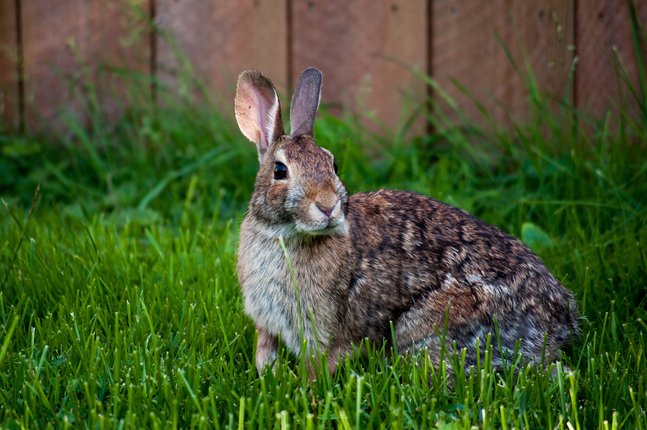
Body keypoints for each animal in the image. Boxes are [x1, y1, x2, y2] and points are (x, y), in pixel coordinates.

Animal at [235, 65, 580, 378]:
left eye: (333, 165)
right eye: (280, 171)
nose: (328, 206)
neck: (285, 234)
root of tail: (561, 323)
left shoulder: (325, 331)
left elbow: (320, 365)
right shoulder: (267, 323)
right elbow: (266, 350)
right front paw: (269, 376)